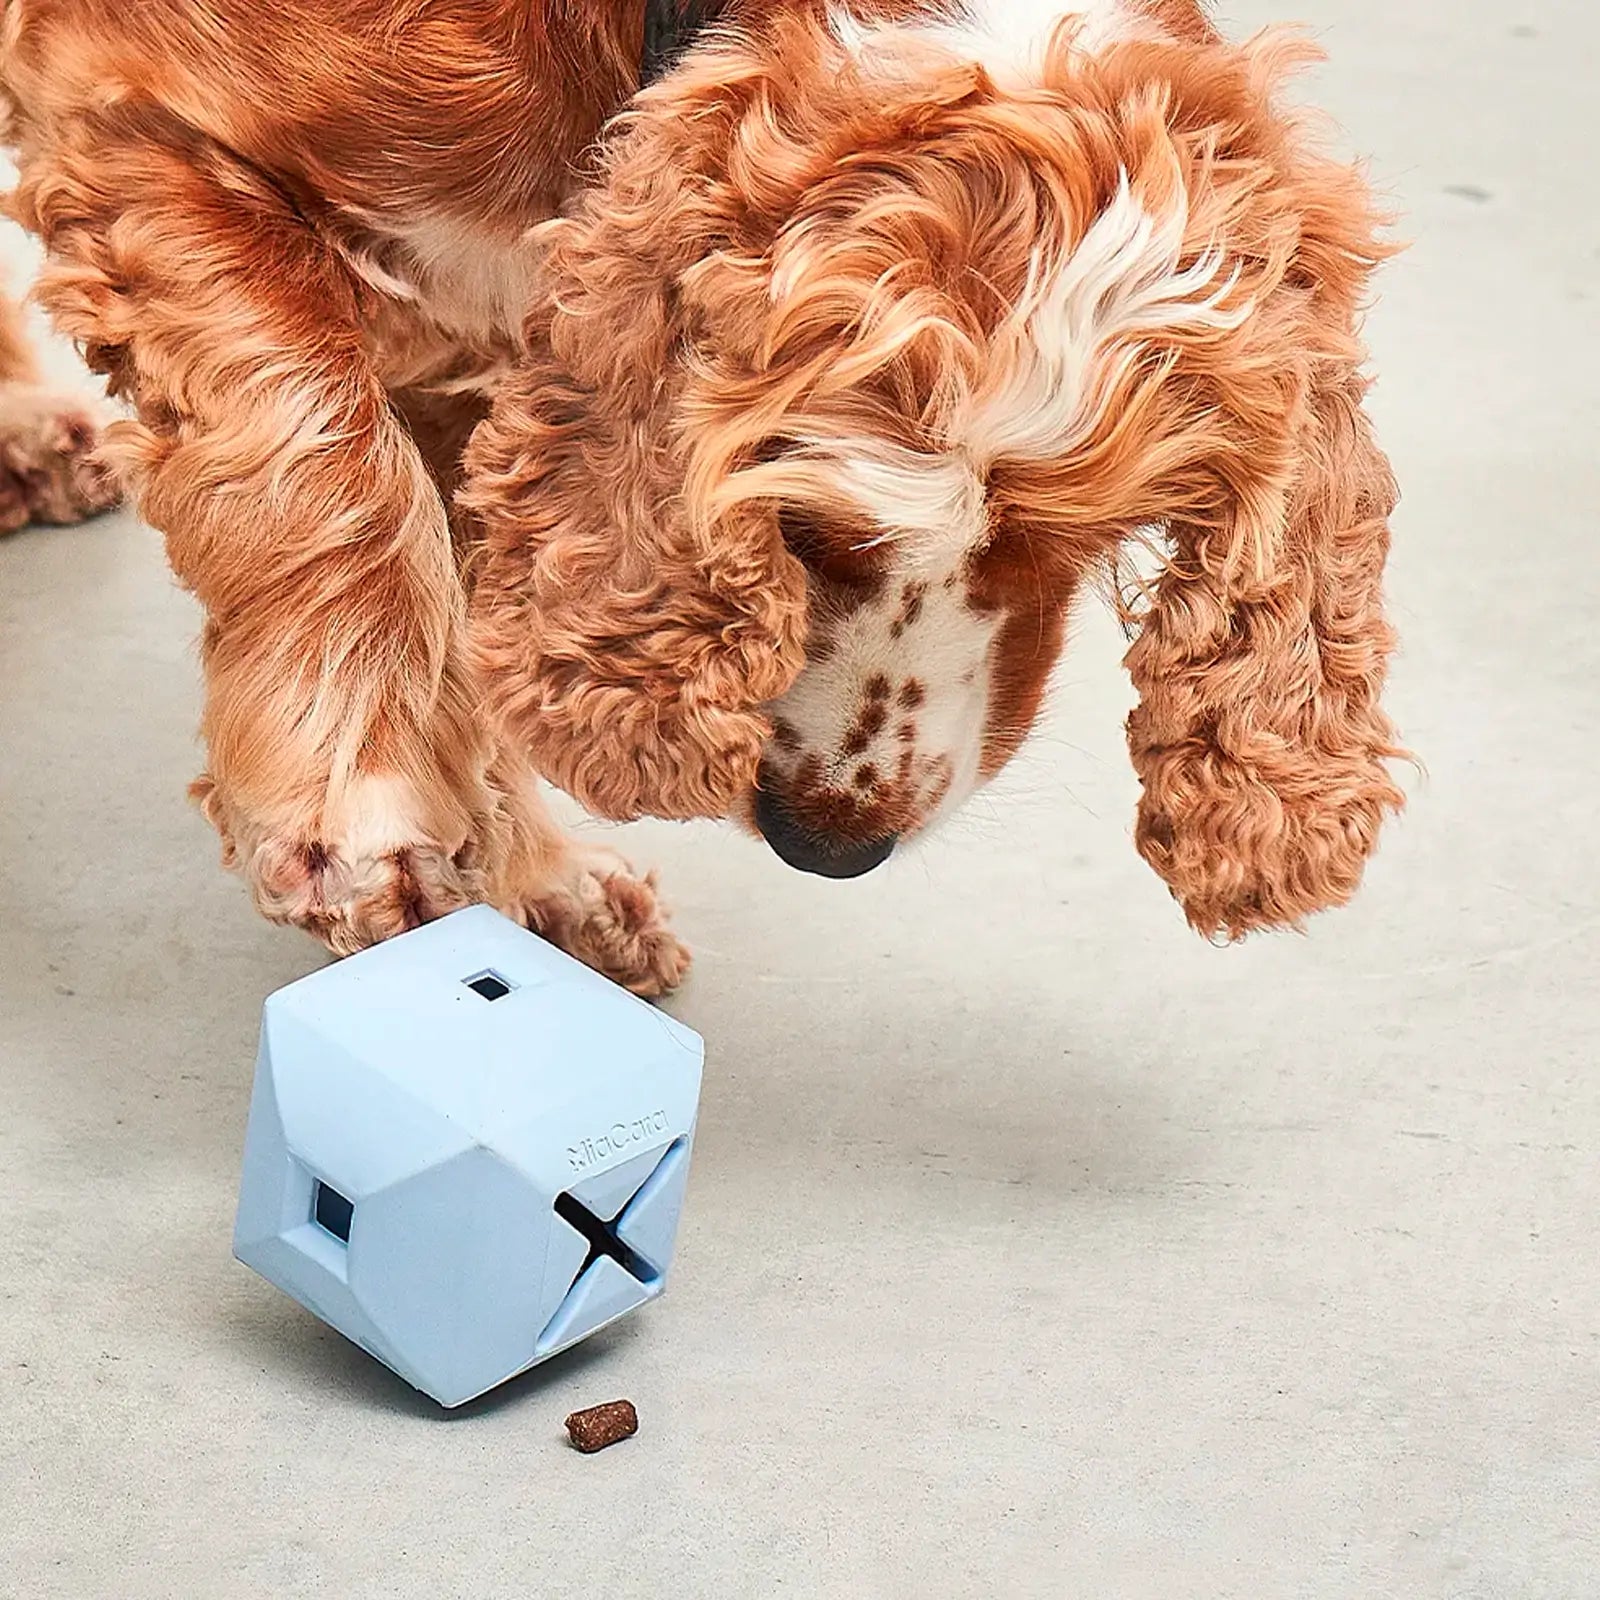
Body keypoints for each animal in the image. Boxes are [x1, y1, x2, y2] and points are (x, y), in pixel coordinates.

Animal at [0, 0, 1401, 992]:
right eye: (801, 521)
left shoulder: (489, 334)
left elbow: (476, 631)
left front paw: (531, 892)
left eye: (1084, 543)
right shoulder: (137, 117)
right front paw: (371, 807)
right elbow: (326, 451)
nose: (825, 843)